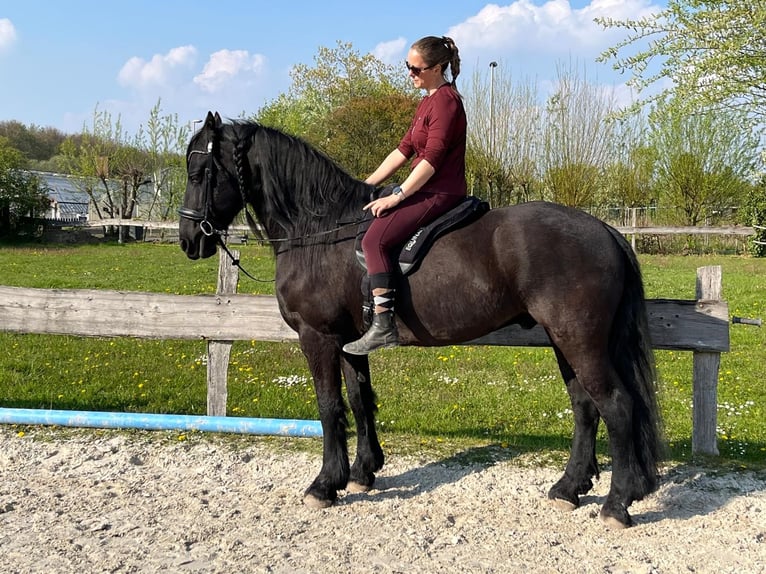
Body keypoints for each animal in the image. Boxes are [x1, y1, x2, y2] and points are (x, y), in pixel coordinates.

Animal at [178, 111, 662, 529]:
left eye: (199, 173)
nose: (187, 241)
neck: (318, 231)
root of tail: (604, 230)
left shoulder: (318, 337)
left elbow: (329, 407)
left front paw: (325, 484)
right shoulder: (350, 340)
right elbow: (360, 400)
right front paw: (363, 471)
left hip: (579, 340)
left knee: (616, 405)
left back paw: (617, 504)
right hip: (566, 341)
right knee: (585, 407)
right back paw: (569, 488)